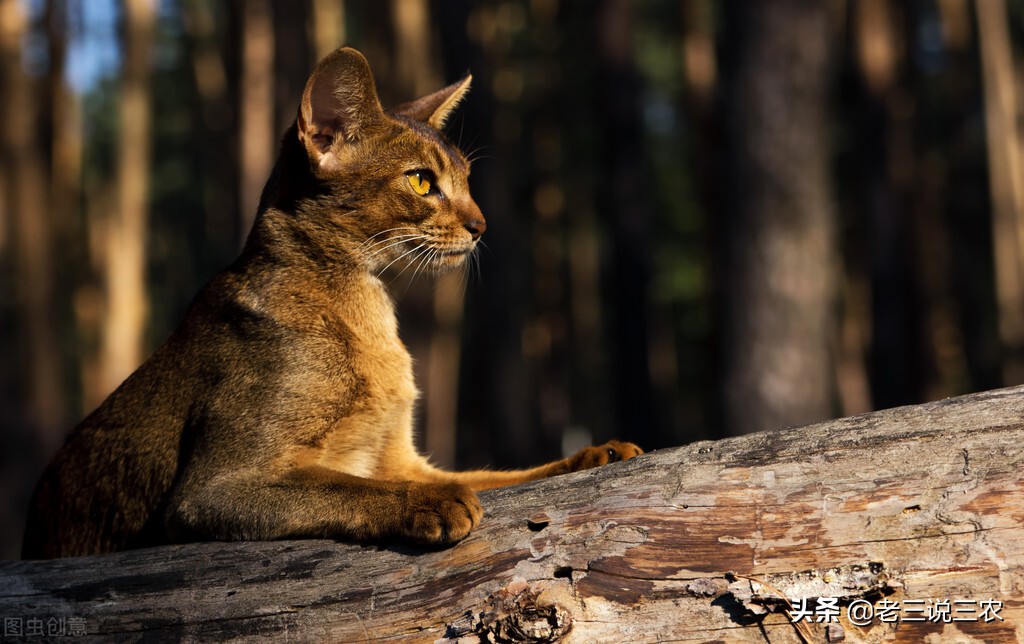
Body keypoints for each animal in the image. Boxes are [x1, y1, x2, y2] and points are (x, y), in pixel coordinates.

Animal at [24, 46, 638, 556]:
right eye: (421, 182)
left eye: (465, 180)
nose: (480, 225)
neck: (366, 312)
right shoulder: (213, 488)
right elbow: (349, 485)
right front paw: (431, 503)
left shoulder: (402, 455)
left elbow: (500, 476)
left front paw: (594, 455)